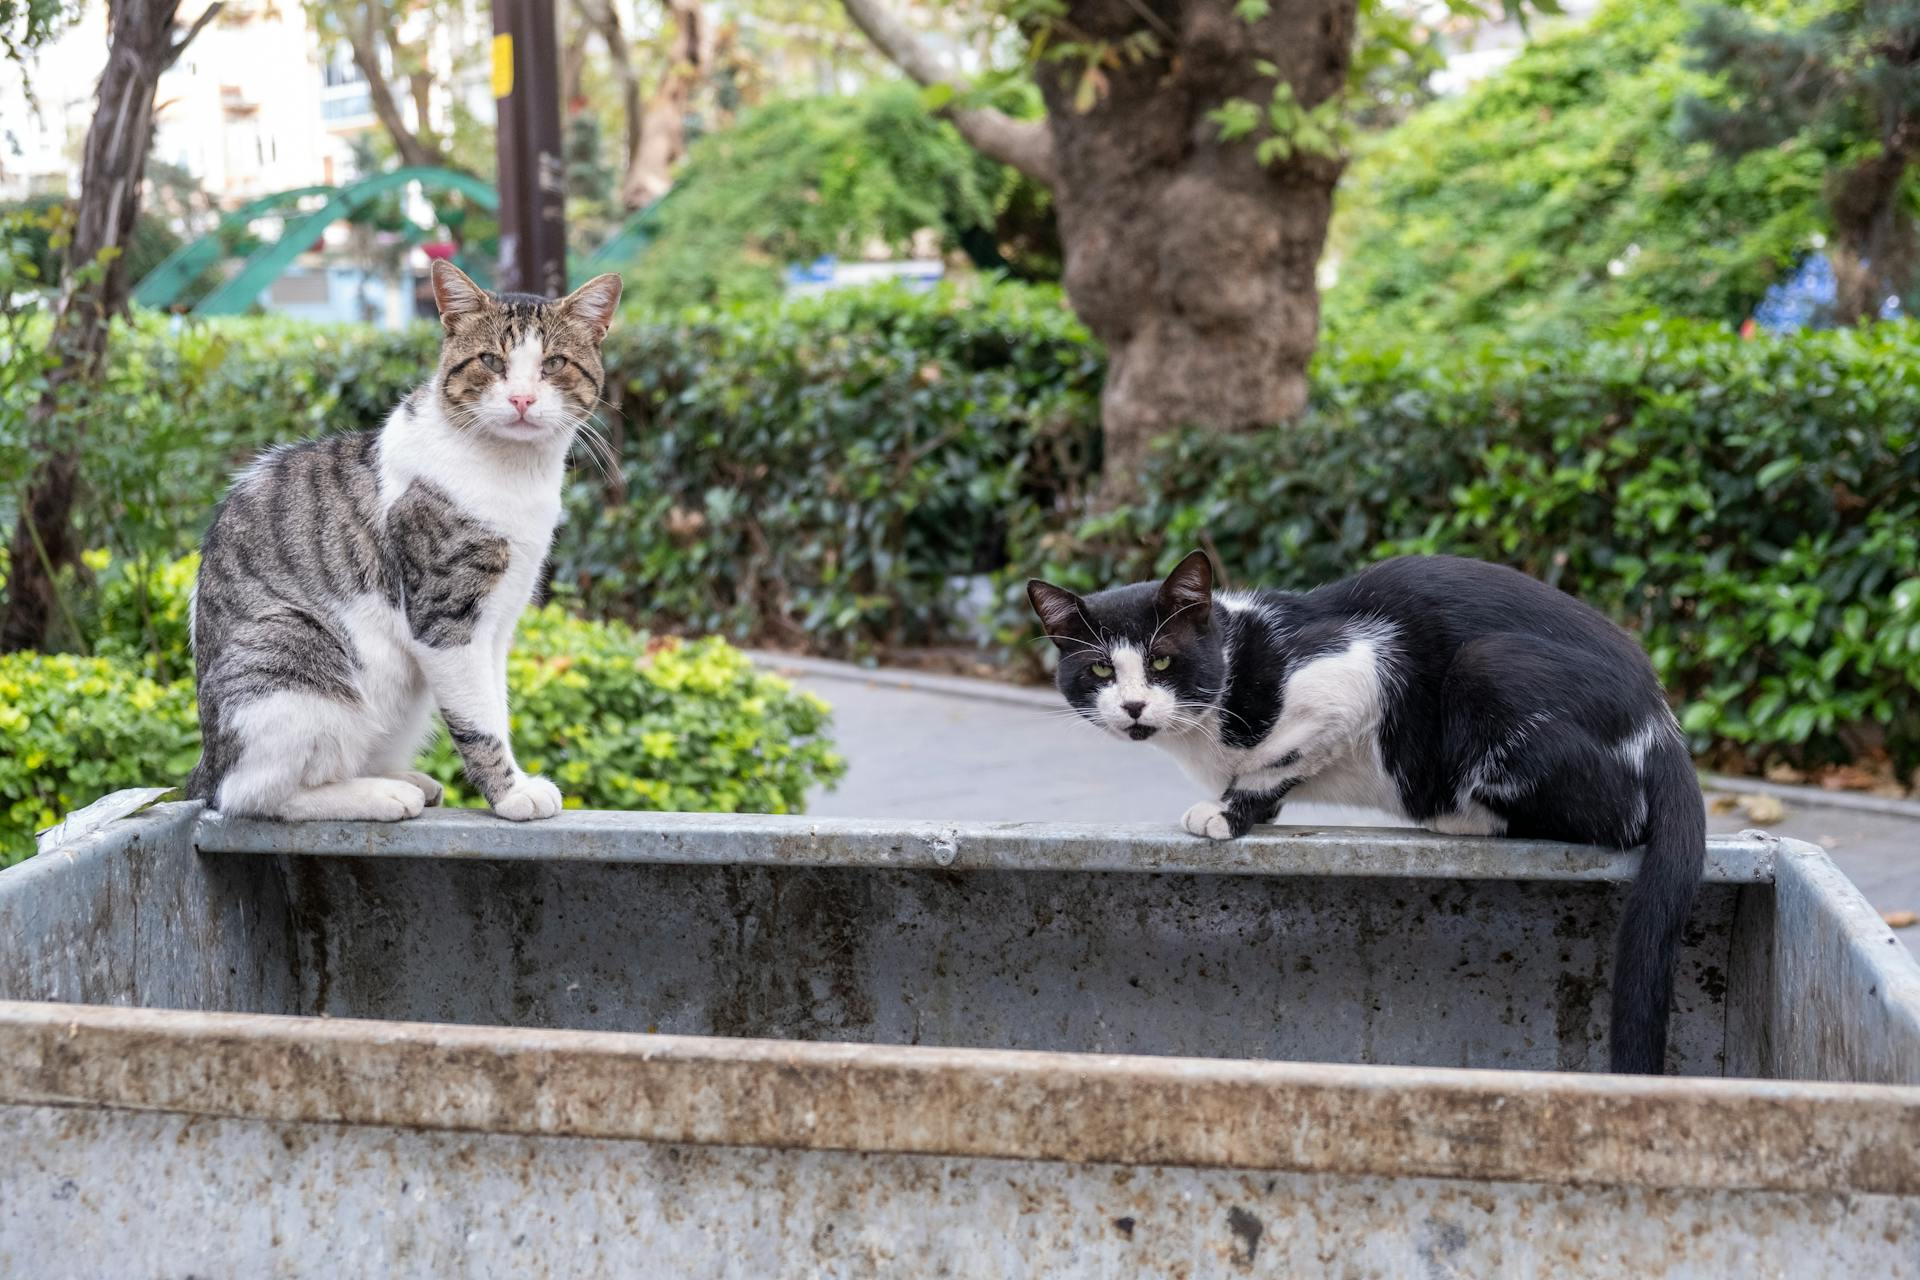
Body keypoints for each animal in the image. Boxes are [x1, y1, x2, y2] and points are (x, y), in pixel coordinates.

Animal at [188, 257, 622, 832]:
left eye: (553, 364)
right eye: (491, 361)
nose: (523, 399)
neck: (515, 477)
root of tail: (207, 763)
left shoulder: (499, 625)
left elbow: (495, 705)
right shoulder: (446, 618)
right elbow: (478, 719)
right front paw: (510, 794)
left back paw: (401, 776)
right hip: (290, 650)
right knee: (255, 794)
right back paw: (378, 794)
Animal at [1029, 556, 1704, 1074]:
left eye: (1163, 661)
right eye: (1099, 669)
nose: (1134, 707)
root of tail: (1661, 722)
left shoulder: (1353, 672)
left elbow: (1278, 756)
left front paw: (1228, 810)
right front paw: (1255, 808)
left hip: (1491, 668)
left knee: (1621, 814)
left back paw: (1462, 815)